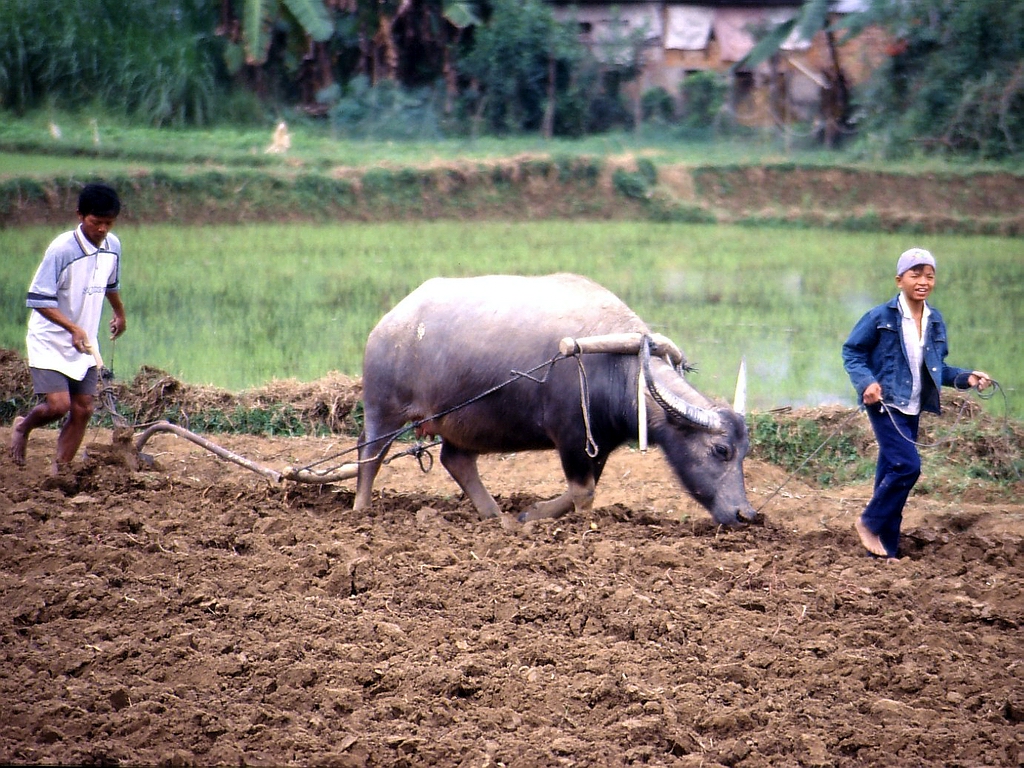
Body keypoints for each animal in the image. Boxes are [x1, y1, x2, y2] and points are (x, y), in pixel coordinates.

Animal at [356, 274, 757, 528]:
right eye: (721, 450)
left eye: (744, 452)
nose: (746, 515)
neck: (618, 363)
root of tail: (389, 323)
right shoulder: (571, 437)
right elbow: (583, 492)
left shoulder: (598, 444)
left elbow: (586, 488)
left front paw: (527, 515)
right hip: (383, 409)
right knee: (369, 454)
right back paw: (362, 510)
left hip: (464, 423)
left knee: (456, 460)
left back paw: (495, 516)